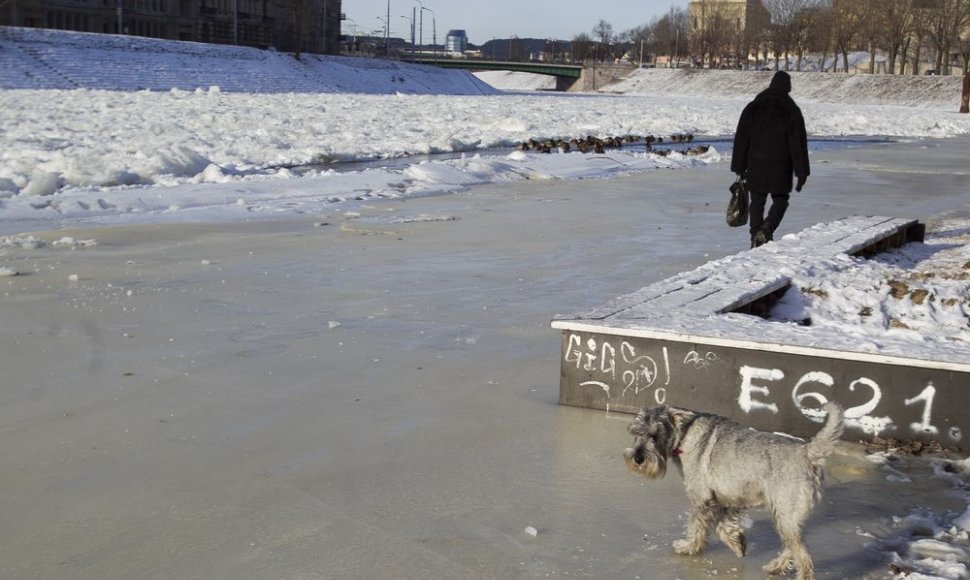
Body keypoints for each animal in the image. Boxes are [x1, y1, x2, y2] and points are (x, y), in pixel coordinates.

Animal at [624, 402, 844, 580]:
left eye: (655, 436)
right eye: (637, 433)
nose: (638, 458)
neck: (684, 436)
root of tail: (808, 452)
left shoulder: (701, 498)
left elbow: (697, 527)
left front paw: (689, 547)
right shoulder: (727, 498)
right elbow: (723, 527)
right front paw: (738, 543)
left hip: (785, 515)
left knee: (803, 555)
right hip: (786, 519)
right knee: (794, 547)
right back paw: (775, 567)